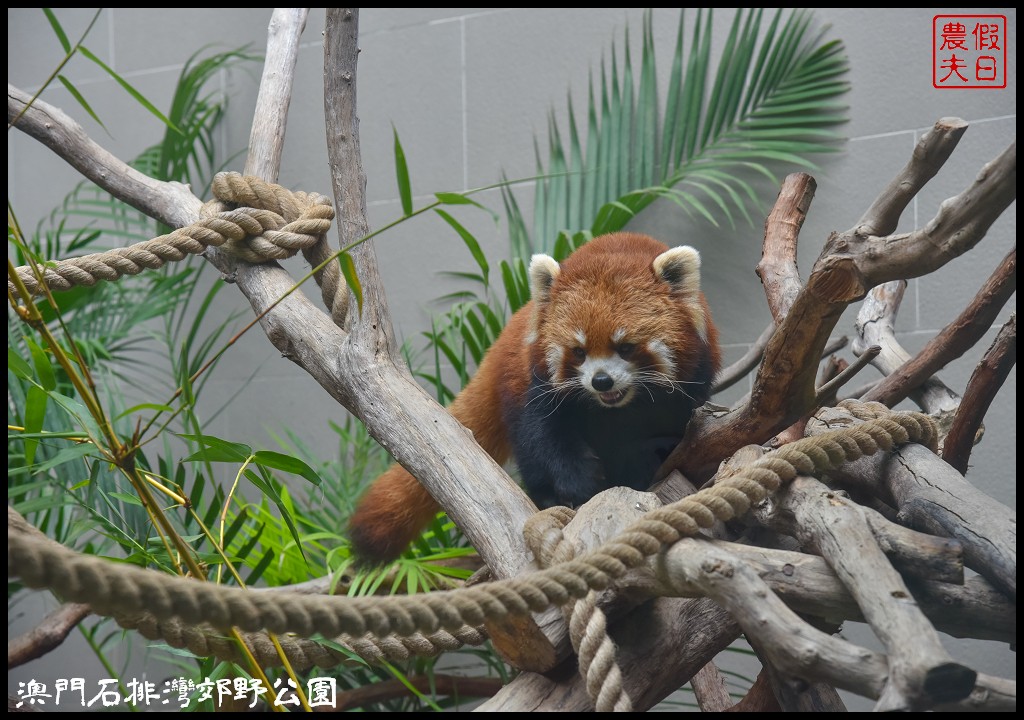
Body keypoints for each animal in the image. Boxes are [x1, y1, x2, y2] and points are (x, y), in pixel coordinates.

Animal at [348, 231, 724, 565]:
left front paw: (640, 467)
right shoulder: (539, 384)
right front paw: (579, 485)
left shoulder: (691, 380)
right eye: (578, 351)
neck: (619, 406)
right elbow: (546, 437)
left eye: (626, 346)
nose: (601, 381)